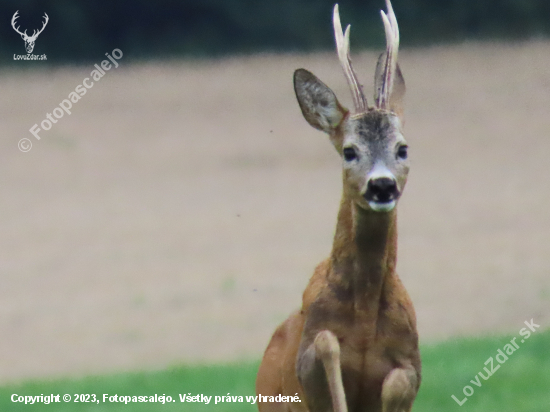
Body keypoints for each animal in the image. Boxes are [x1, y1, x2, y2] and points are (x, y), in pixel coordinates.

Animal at [256, 1, 420, 410]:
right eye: (349, 151)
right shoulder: (305, 360)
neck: (363, 316)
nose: (382, 185)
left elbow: (397, 382)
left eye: (402, 148)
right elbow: (327, 343)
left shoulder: (412, 363)